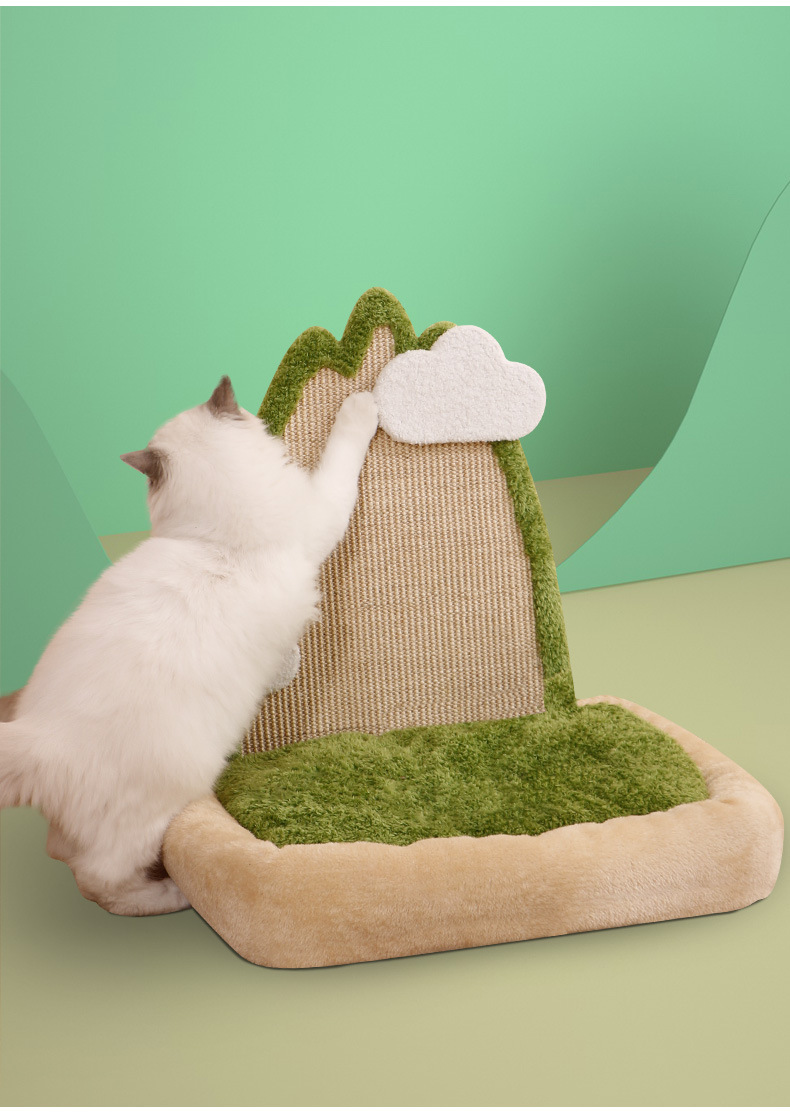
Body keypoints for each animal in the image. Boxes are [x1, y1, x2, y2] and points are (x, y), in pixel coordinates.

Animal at [0, 376, 378, 916]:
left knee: (60, 850)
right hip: (154, 814)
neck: (220, 541)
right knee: (97, 881)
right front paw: (365, 402)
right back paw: (171, 895)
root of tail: (39, 735)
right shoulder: (321, 517)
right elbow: (344, 450)